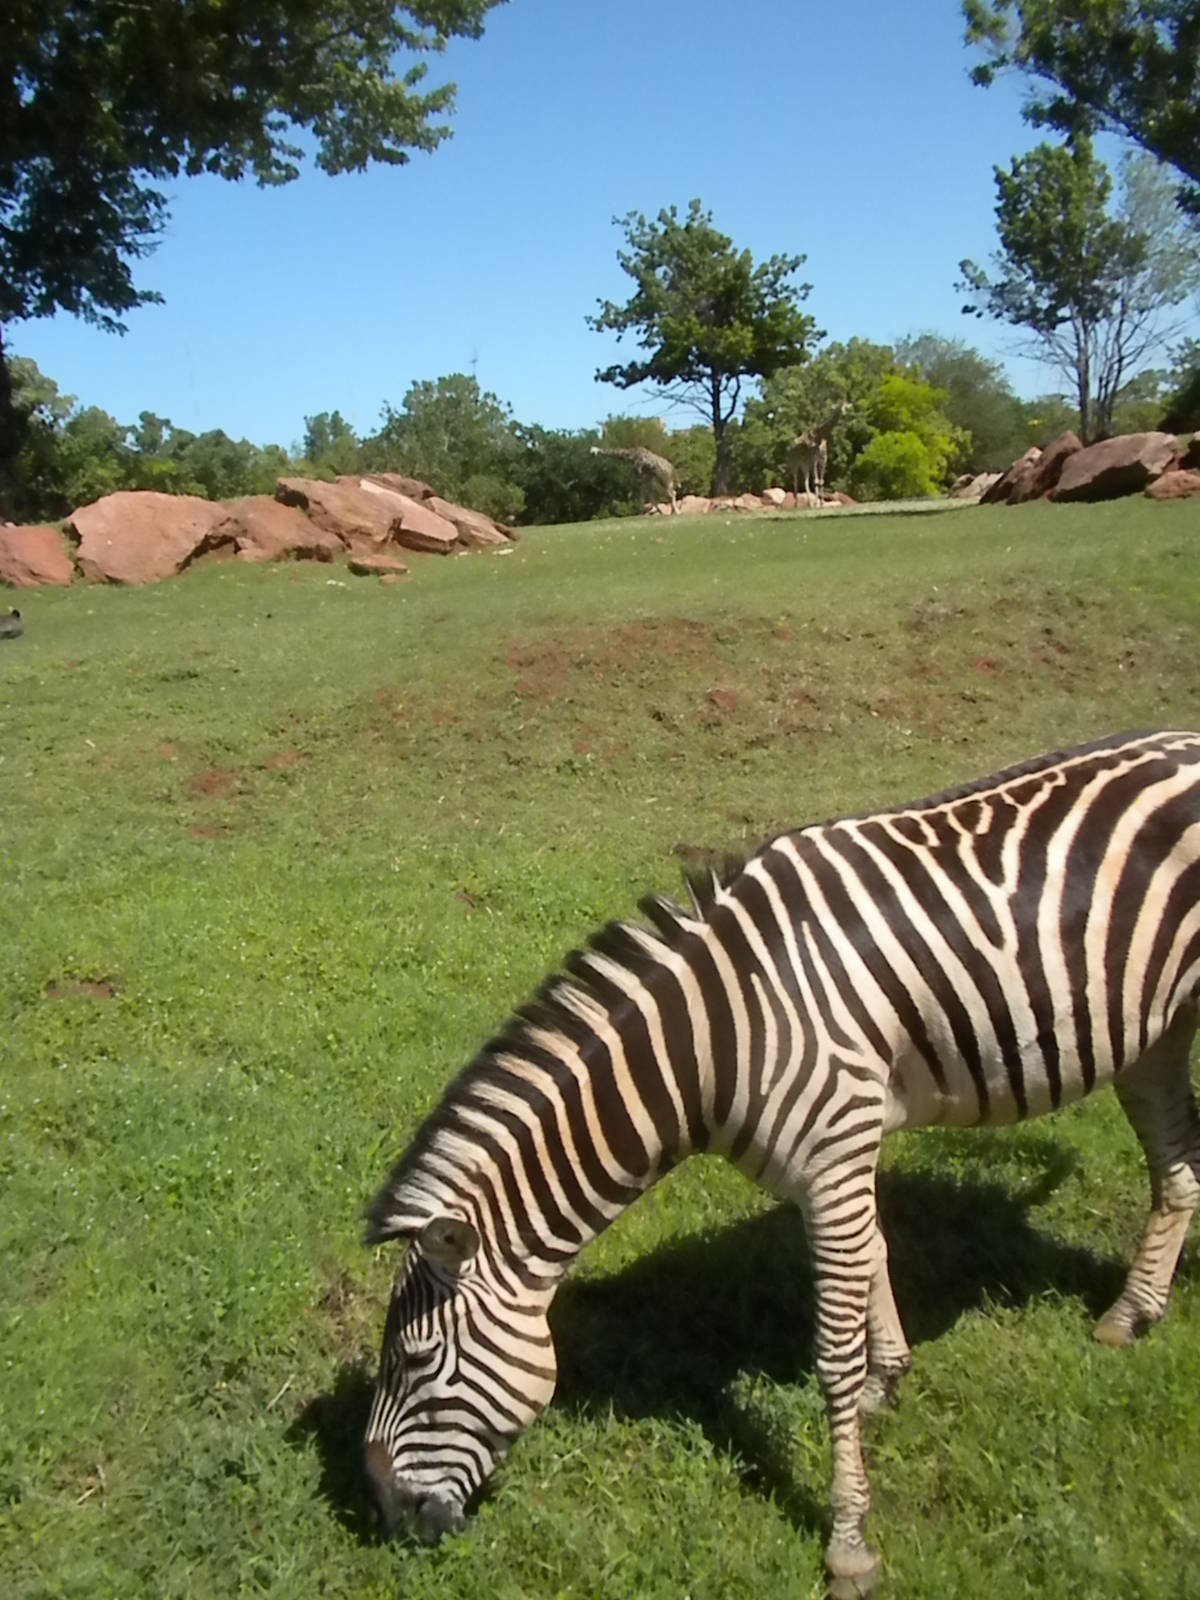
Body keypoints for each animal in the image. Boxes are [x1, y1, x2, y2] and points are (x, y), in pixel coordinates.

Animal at [363, 729, 1200, 1596]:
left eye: (415, 1362)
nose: (382, 1514)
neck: (721, 1034)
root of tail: (1180, 739)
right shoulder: (832, 1162)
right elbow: (875, 1257)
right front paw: (886, 1379)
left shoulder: (834, 1157)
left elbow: (832, 1349)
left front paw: (849, 1539)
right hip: (1156, 1030)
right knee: (1181, 1171)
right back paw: (1131, 1317)